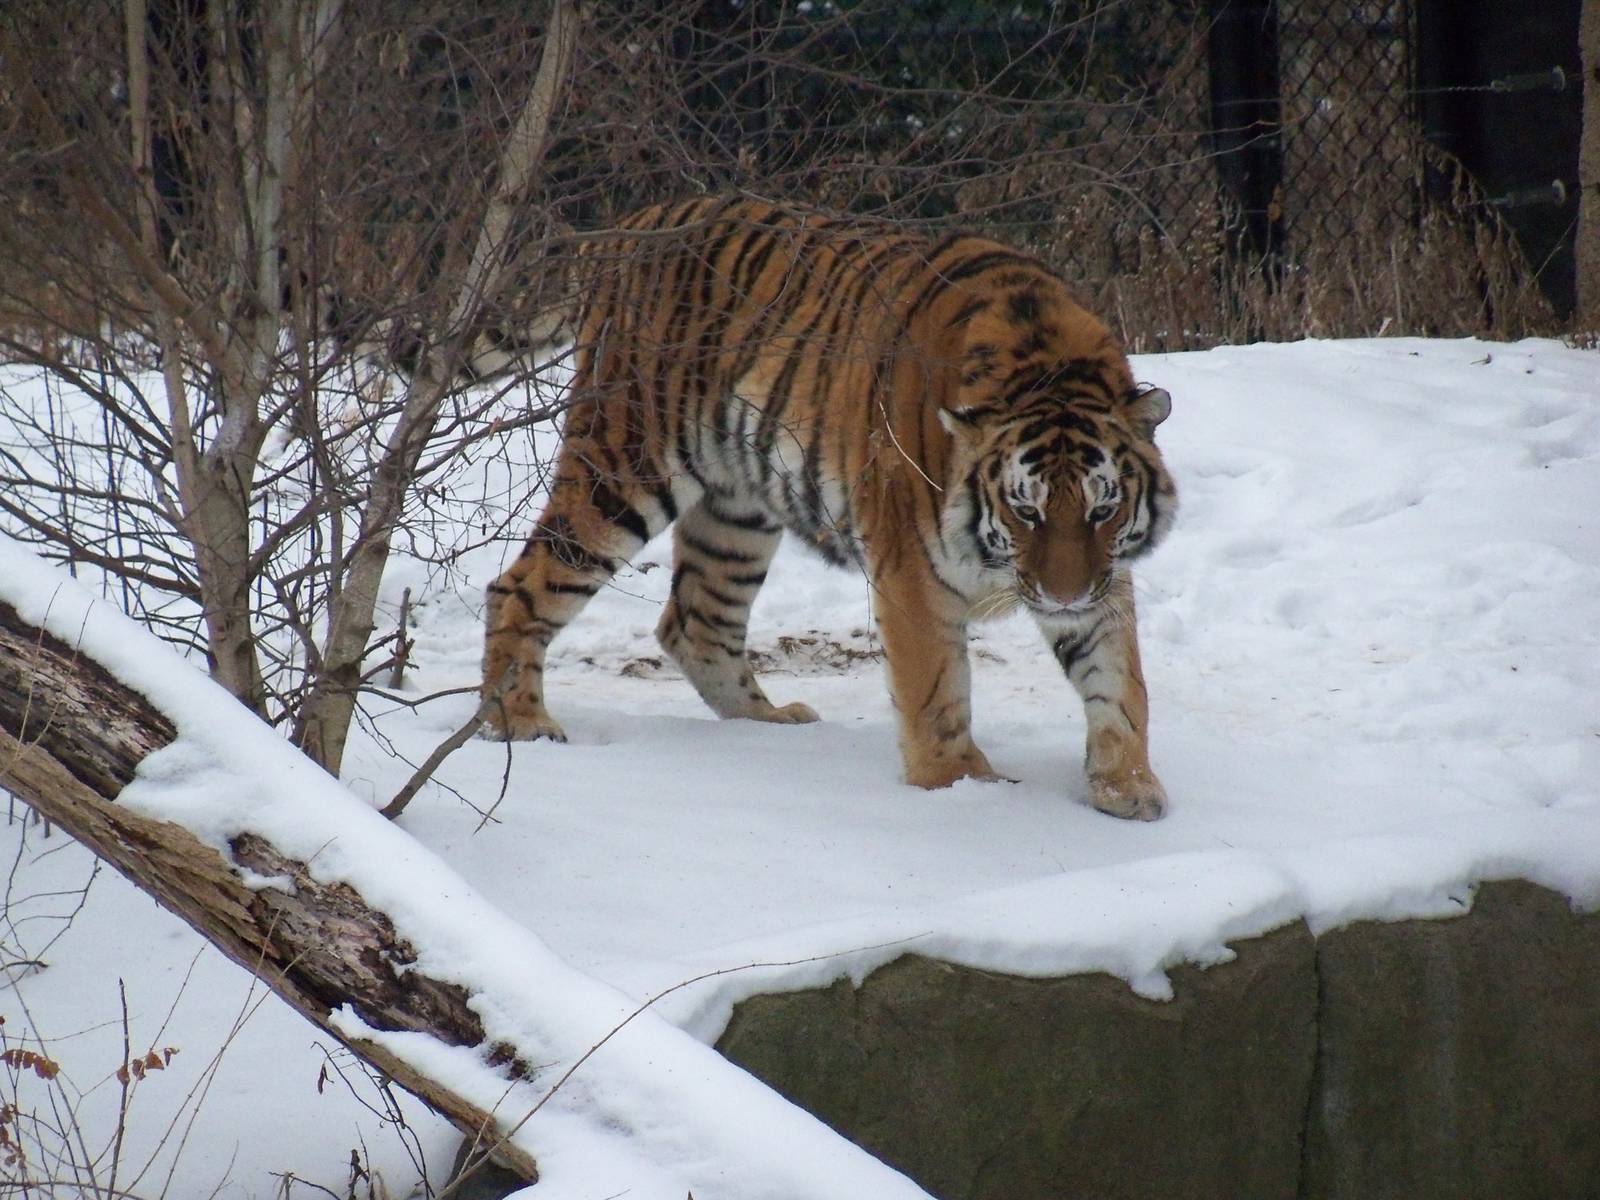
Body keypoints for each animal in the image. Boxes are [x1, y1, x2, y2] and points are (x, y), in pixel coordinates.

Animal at [479, 196, 1178, 820]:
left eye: (1102, 511)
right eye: (1025, 512)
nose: (1063, 598)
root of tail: (630, 229)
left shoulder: (1104, 577)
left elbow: (1123, 680)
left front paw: (1127, 786)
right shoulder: (913, 572)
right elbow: (937, 685)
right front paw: (955, 784)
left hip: (736, 512)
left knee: (695, 618)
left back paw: (766, 722)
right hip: (624, 464)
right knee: (519, 585)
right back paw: (520, 723)